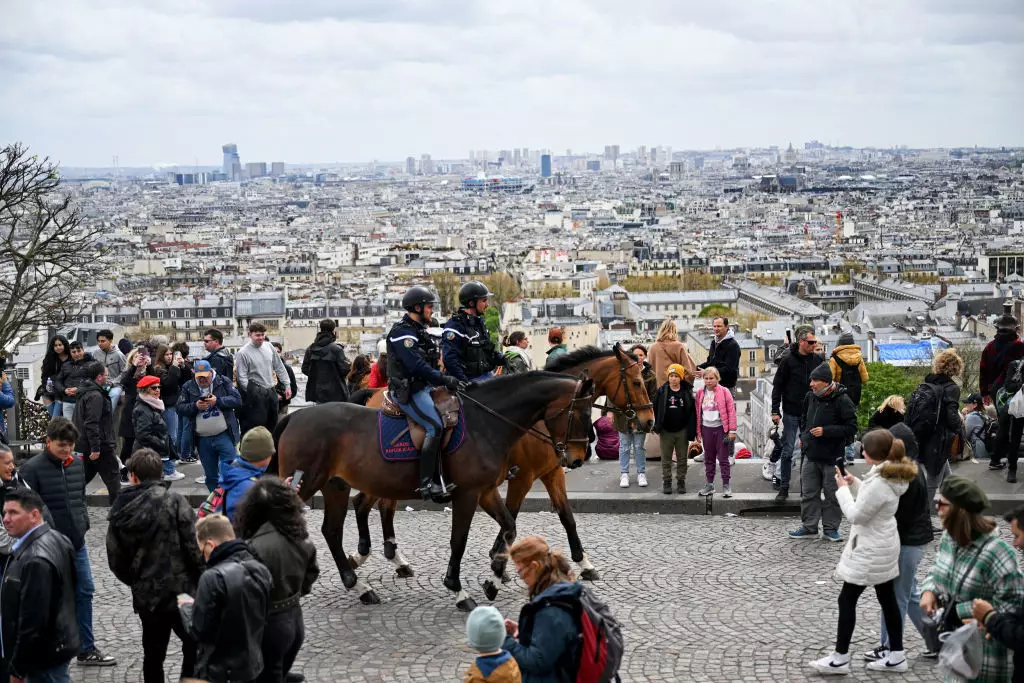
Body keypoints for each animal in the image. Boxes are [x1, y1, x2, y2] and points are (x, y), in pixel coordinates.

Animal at [274, 370, 593, 610]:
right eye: (580, 412)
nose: (578, 458)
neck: (484, 423)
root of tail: (295, 417)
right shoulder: (469, 494)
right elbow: (459, 541)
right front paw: (458, 589)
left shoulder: (487, 491)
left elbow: (510, 529)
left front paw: (493, 580)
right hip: (305, 484)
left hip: (337, 487)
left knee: (333, 530)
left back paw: (359, 584)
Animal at [344, 342, 651, 581]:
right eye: (637, 382)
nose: (649, 420)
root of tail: (374, 396)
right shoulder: (521, 478)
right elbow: (511, 516)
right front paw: (497, 559)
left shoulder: (552, 473)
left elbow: (567, 517)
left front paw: (584, 562)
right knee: (375, 505)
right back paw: (375, 556)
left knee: (370, 505)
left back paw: (385, 558)